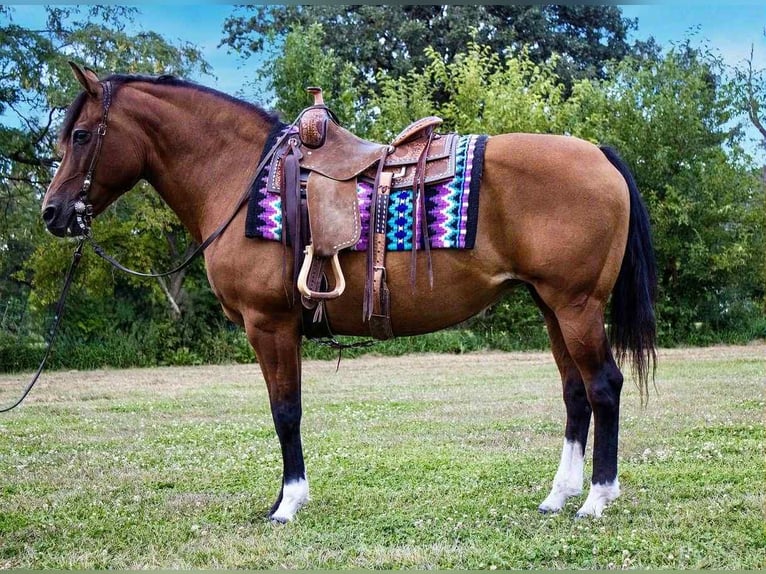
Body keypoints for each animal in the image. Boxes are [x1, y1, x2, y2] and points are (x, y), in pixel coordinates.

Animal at [42, 63, 657, 522]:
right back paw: (559, 495)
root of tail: (598, 153)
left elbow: (285, 411)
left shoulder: (269, 325)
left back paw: (597, 497)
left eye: (80, 135)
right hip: (550, 305)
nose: (52, 213)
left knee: (604, 386)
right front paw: (283, 497)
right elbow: (285, 411)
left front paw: (287, 503)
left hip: (576, 306)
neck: (240, 178)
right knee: (576, 393)